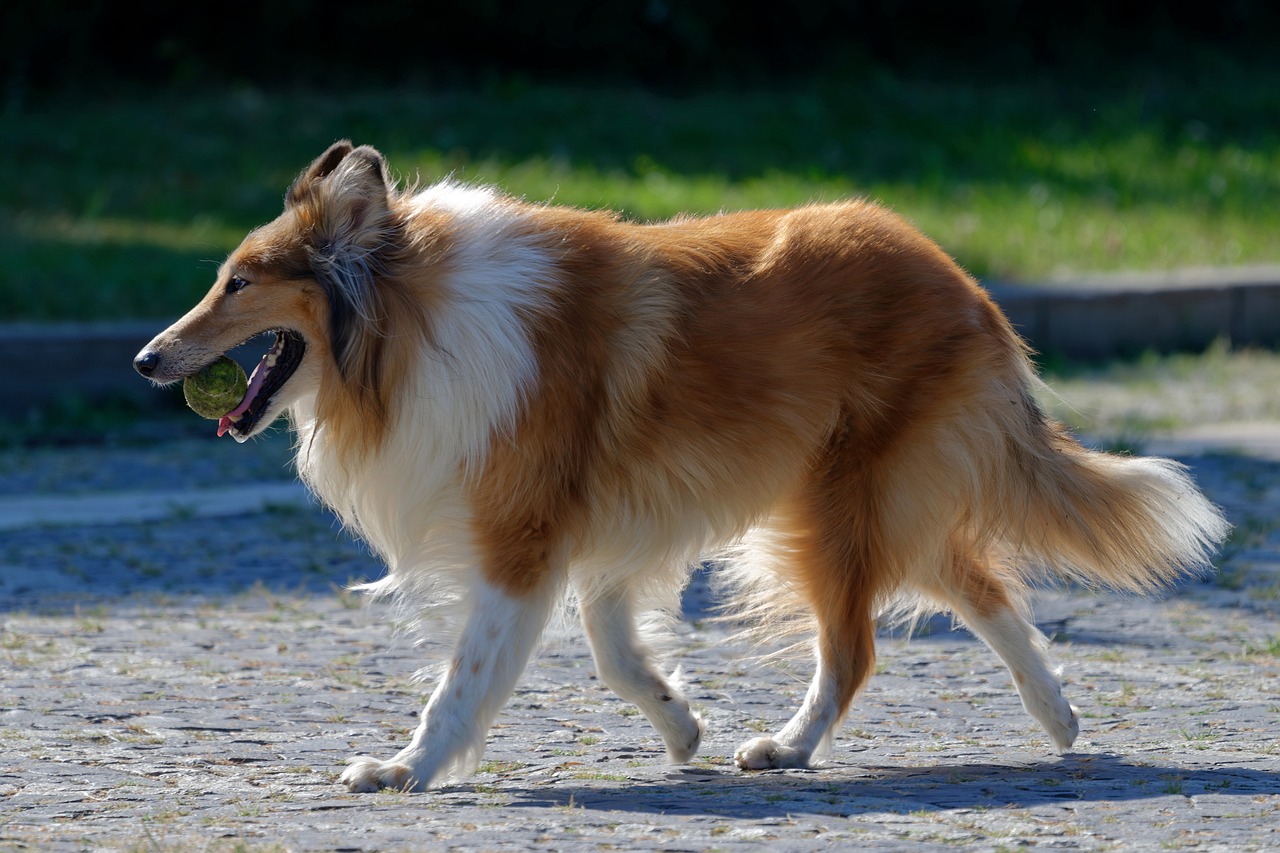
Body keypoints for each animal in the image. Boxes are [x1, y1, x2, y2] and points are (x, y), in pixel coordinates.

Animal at [132, 140, 1228, 788]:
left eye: (238, 282)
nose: (144, 360)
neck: (413, 319)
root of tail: (961, 281)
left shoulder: (519, 541)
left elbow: (463, 678)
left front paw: (405, 767)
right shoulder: (609, 532)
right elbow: (616, 650)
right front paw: (678, 725)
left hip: (833, 505)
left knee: (857, 646)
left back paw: (789, 746)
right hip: (856, 497)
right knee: (981, 582)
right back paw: (1059, 716)